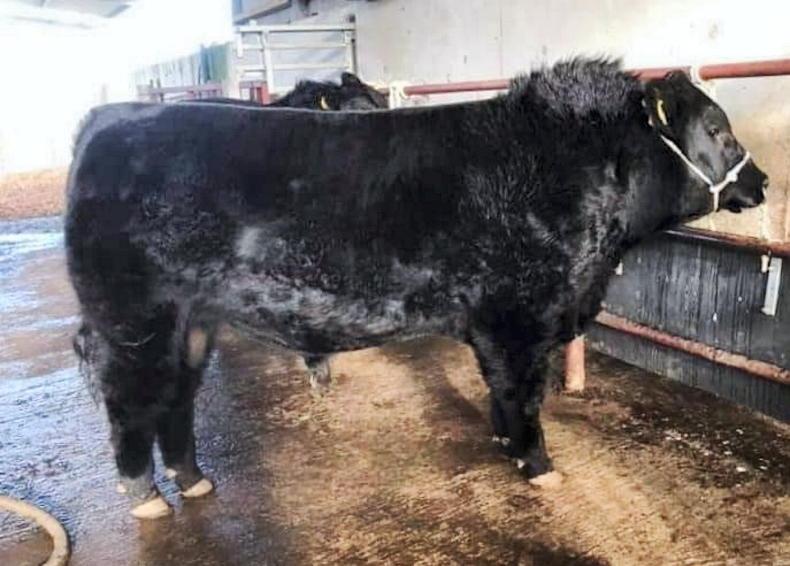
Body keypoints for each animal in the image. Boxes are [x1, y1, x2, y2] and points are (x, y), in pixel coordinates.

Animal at [65, 59, 767, 519]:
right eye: (719, 130)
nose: (760, 180)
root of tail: (107, 117)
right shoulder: (519, 318)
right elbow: (523, 394)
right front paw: (538, 466)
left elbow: (502, 395)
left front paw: (504, 444)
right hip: (134, 318)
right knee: (131, 401)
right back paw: (147, 499)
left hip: (192, 322)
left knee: (176, 400)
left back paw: (192, 480)